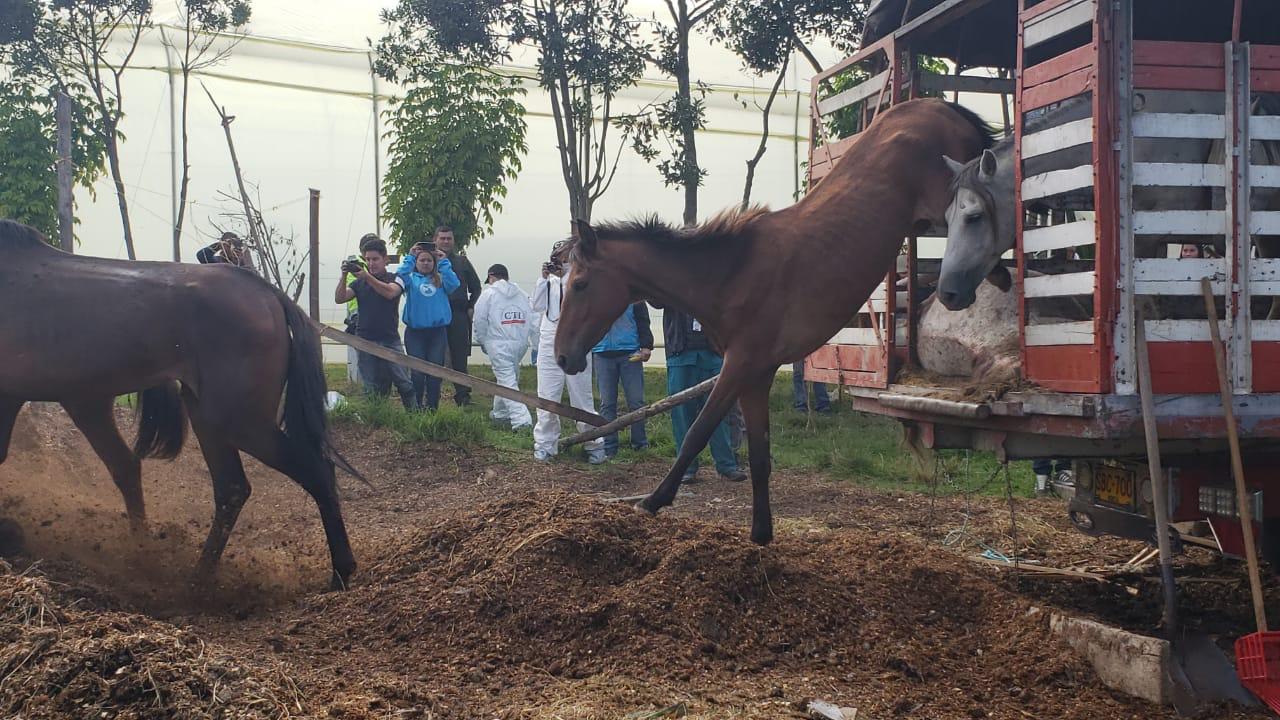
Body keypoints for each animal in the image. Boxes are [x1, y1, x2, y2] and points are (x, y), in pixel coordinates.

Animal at [0, 220, 357, 590]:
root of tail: (267, 293)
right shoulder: (19, 397)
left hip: (239, 420)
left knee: (313, 470)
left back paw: (340, 571)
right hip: (200, 413)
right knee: (229, 487)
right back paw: (194, 577)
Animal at [551, 98, 998, 545]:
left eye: (580, 284)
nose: (561, 356)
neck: (730, 272)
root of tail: (941, 105)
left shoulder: (741, 364)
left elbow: (697, 431)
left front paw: (653, 501)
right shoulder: (757, 373)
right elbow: (759, 456)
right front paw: (761, 534)